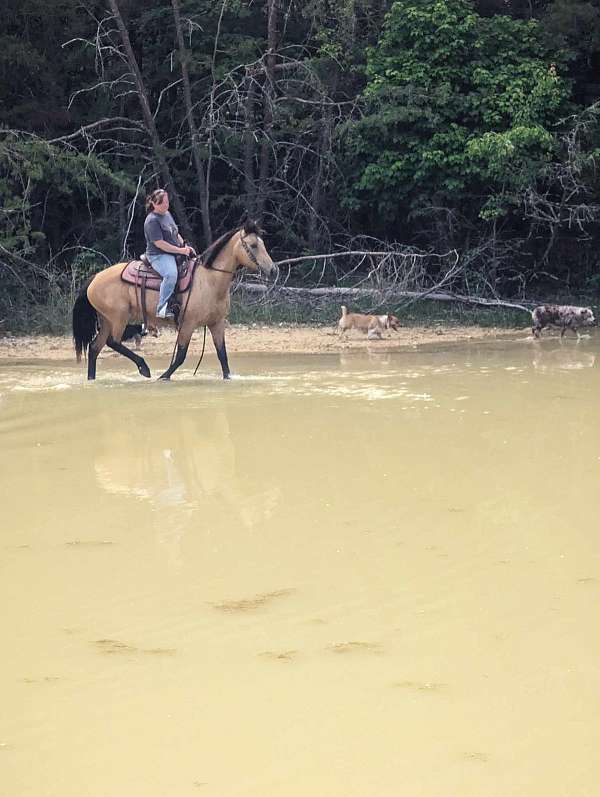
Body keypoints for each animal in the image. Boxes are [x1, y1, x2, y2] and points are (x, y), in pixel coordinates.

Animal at [71, 219, 276, 380]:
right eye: (254, 245)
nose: (274, 270)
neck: (209, 280)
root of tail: (95, 278)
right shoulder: (187, 324)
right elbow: (181, 355)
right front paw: (164, 376)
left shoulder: (216, 323)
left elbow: (222, 356)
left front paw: (228, 378)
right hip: (118, 318)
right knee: (113, 342)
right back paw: (144, 367)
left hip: (107, 319)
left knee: (94, 348)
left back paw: (92, 379)